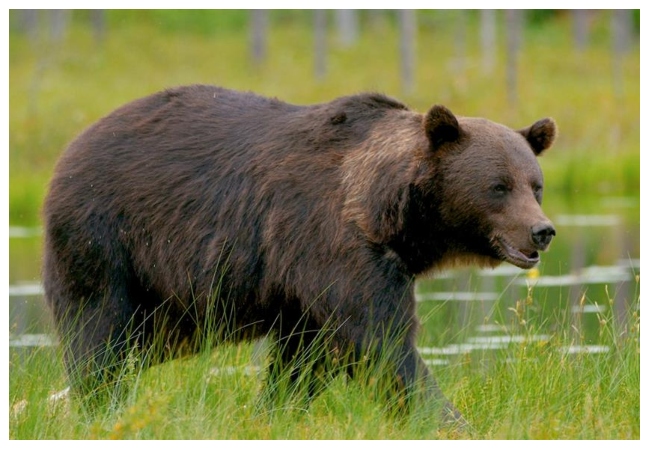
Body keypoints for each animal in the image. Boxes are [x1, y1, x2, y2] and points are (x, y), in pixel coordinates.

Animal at [43, 84, 556, 426]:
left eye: (535, 185)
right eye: (498, 186)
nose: (542, 231)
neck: (391, 217)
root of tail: (72, 147)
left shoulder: (303, 284)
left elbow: (304, 359)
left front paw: (275, 411)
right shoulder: (332, 243)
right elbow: (379, 342)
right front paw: (447, 419)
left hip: (163, 300)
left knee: (136, 346)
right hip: (109, 238)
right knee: (99, 333)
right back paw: (96, 404)